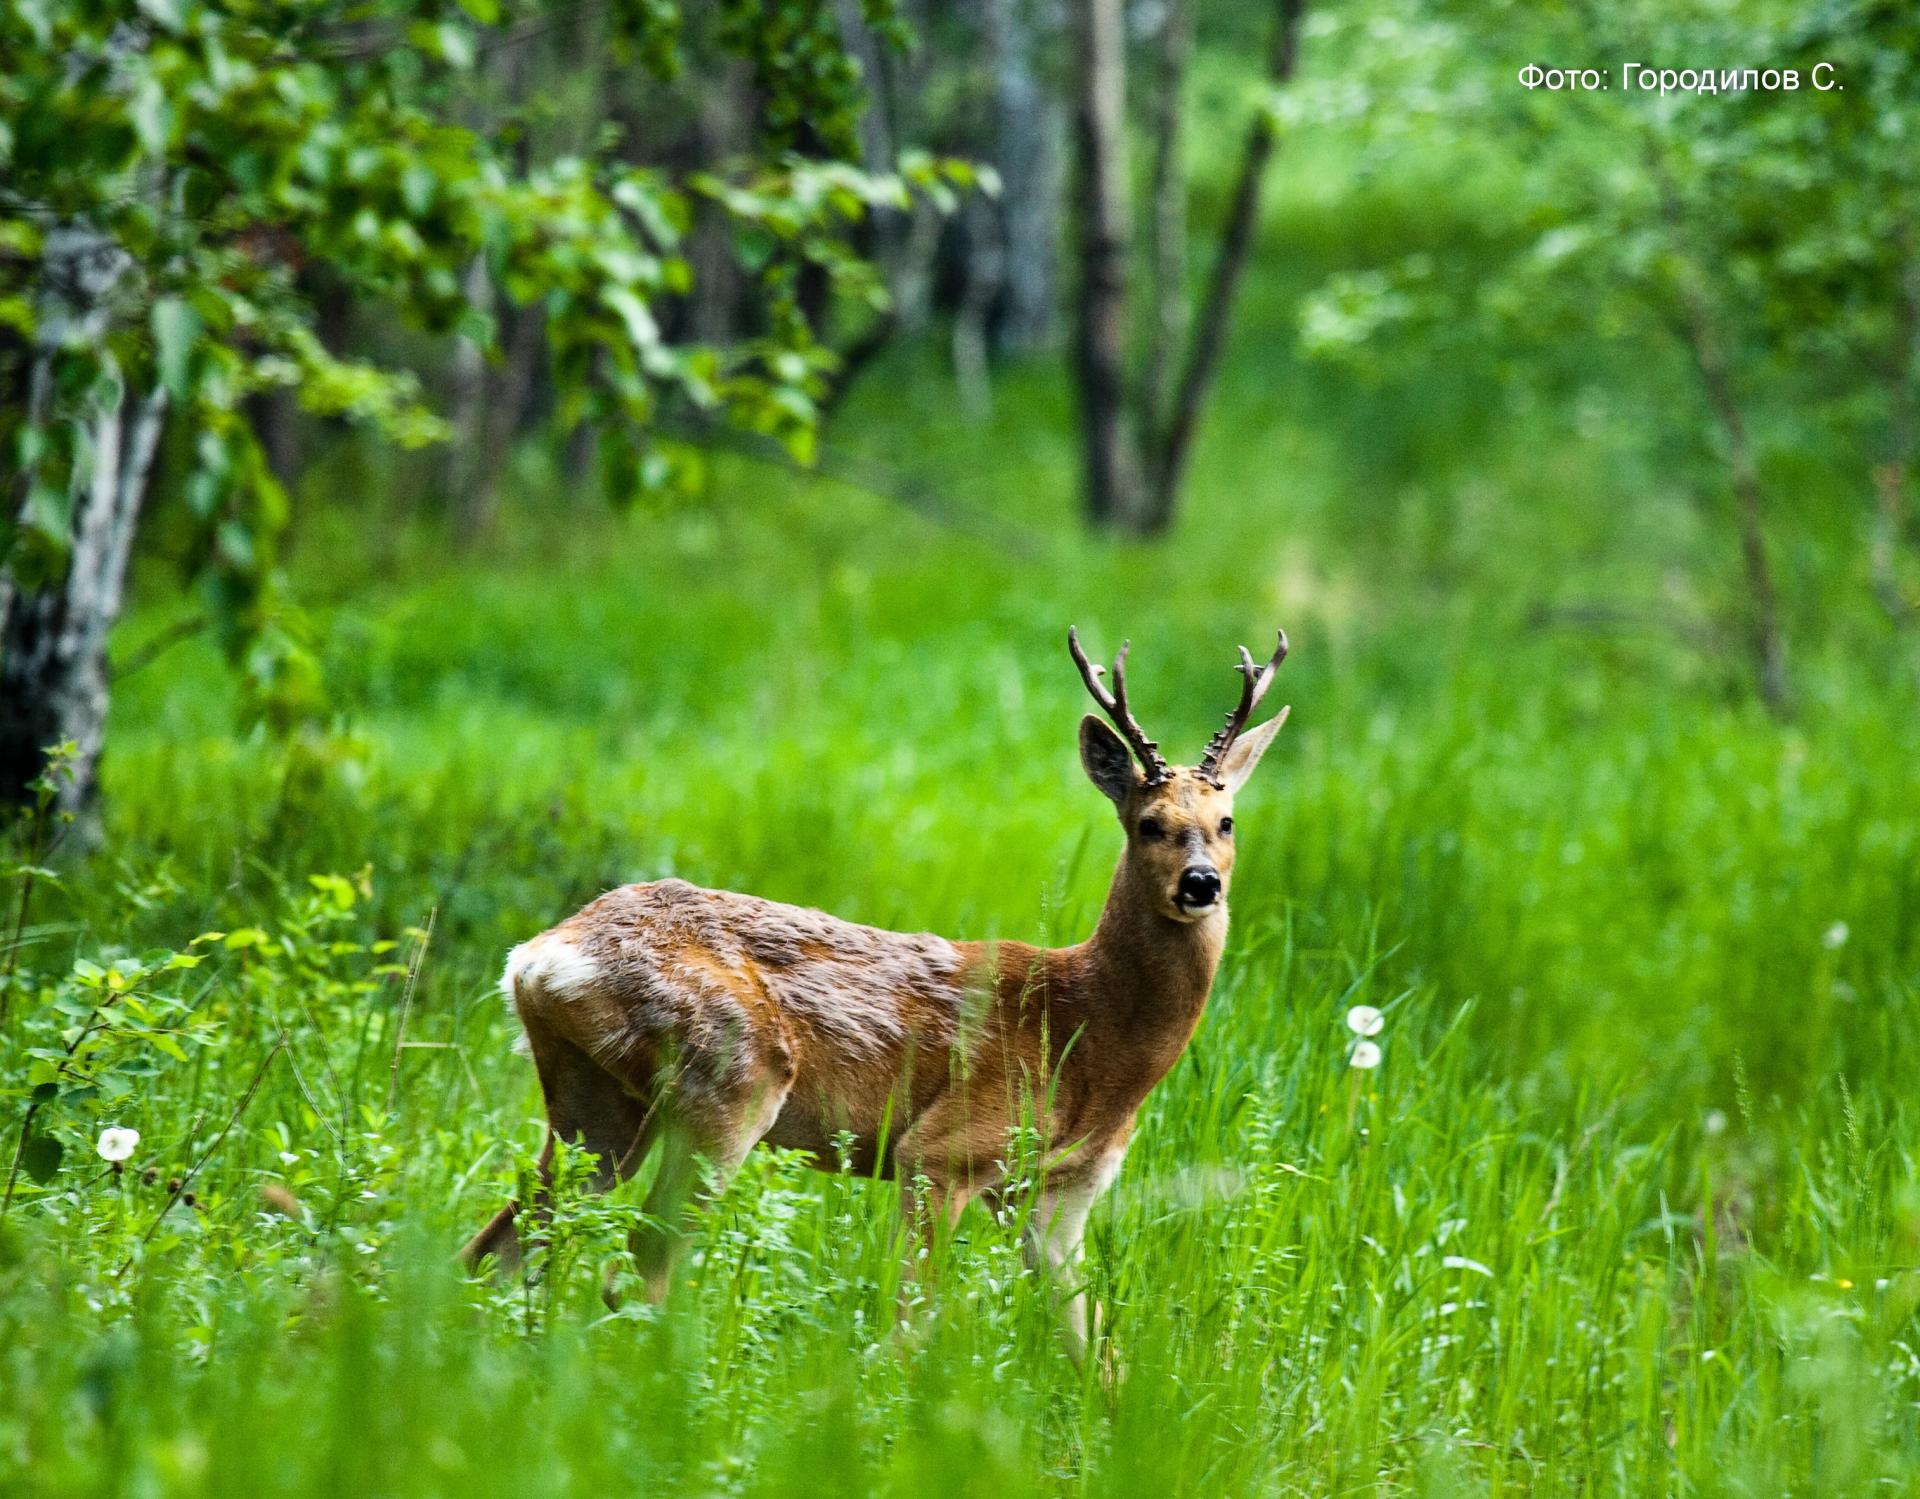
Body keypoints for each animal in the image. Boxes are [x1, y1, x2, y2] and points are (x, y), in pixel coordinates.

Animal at [462, 621, 1290, 1358]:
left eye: (1227, 820)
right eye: (1148, 822)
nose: (1201, 882)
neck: (1091, 1030)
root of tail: (537, 956)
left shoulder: (1058, 1193)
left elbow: (1096, 1353)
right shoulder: (942, 1152)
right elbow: (909, 1326)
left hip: (597, 1106)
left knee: (497, 1248)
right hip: (728, 1081)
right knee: (632, 1271)